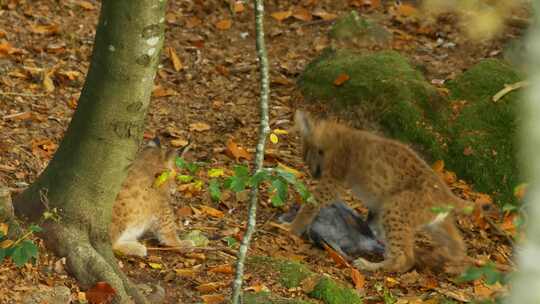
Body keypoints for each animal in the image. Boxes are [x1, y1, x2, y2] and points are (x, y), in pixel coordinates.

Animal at [292, 110, 472, 274]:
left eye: (306, 157)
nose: (313, 175)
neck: (335, 135)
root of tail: (446, 193)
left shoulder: (332, 181)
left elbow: (311, 205)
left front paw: (291, 228)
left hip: (395, 208)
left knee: (405, 257)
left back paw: (370, 265)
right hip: (433, 223)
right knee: (458, 245)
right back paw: (449, 262)